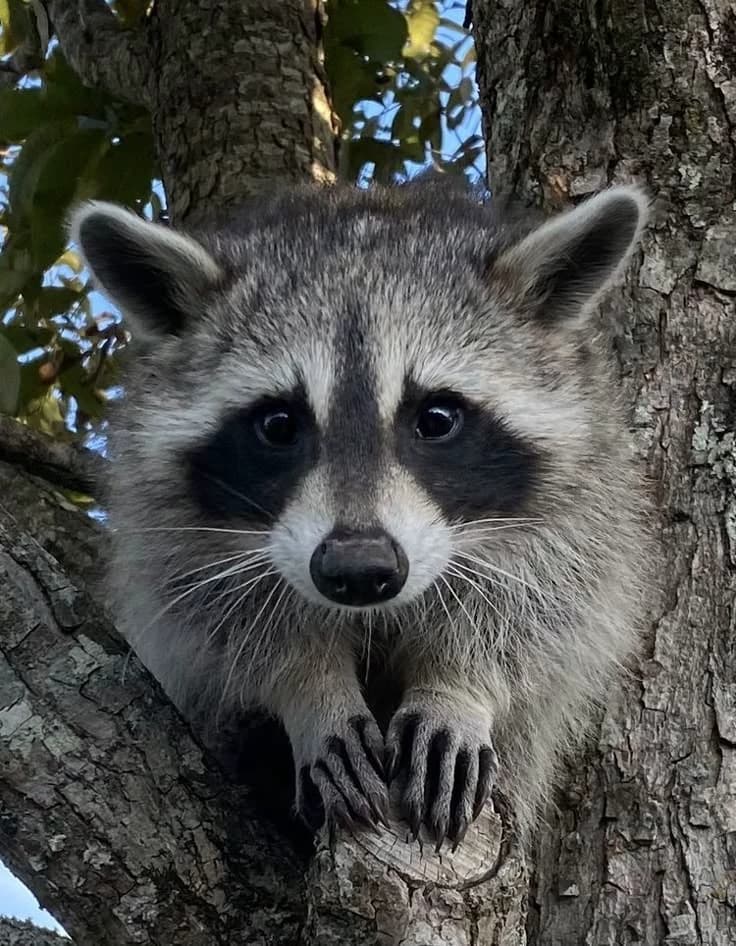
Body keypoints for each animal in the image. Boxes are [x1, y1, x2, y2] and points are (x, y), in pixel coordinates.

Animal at [71, 180, 650, 849]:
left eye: (437, 419)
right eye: (278, 425)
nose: (359, 570)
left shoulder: (584, 491)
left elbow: (541, 604)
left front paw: (456, 687)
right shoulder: (165, 513)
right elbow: (218, 614)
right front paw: (310, 690)